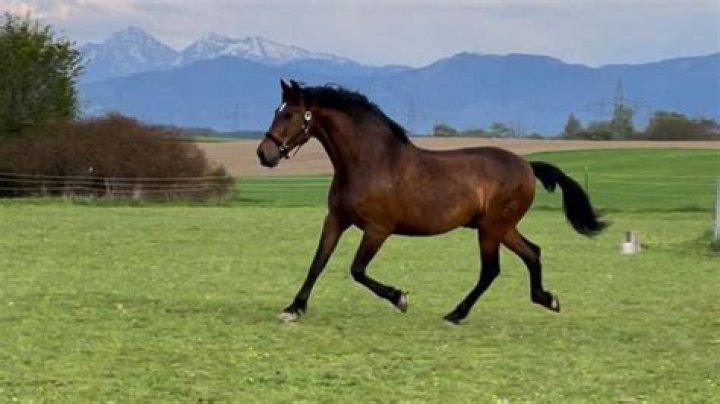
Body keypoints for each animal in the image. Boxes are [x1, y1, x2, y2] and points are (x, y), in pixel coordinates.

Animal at [256, 79, 607, 324]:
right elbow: (318, 262)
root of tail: (526, 166)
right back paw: (547, 299)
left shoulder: (378, 229)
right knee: (532, 253)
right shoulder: (336, 219)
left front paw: (400, 298)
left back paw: (456, 314)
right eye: (276, 112)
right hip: (501, 227)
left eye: (289, 114)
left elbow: (357, 270)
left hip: (491, 229)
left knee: (491, 269)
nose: (264, 154)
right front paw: (293, 308)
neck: (370, 162)